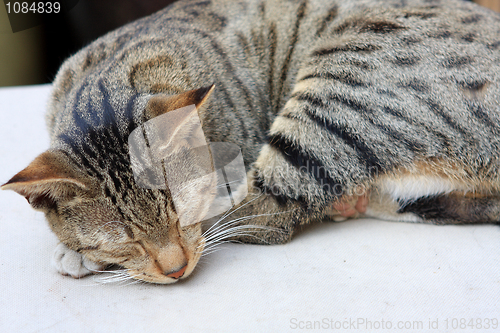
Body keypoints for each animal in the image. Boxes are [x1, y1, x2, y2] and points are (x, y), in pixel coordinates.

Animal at [2, 0, 500, 282]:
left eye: (184, 210)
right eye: (126, 238)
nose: (176, 269)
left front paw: (76, 254)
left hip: (343, 82)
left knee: (268, 214)